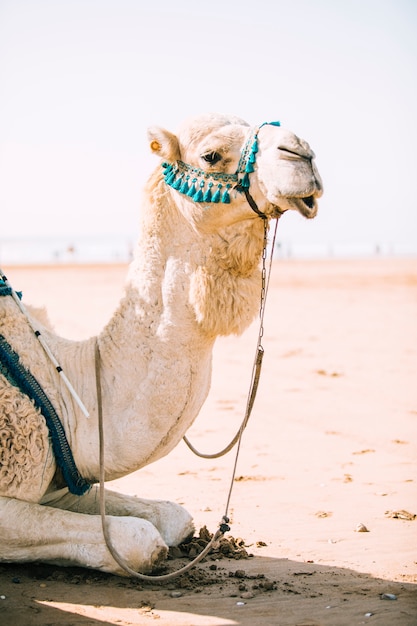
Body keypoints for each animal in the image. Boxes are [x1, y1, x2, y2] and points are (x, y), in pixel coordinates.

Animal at [0, 113, 322, 576]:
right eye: (211, 154)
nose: (303, 154)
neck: (66, 386)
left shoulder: (66, 484)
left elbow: (174, 517)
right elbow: (140, 539)